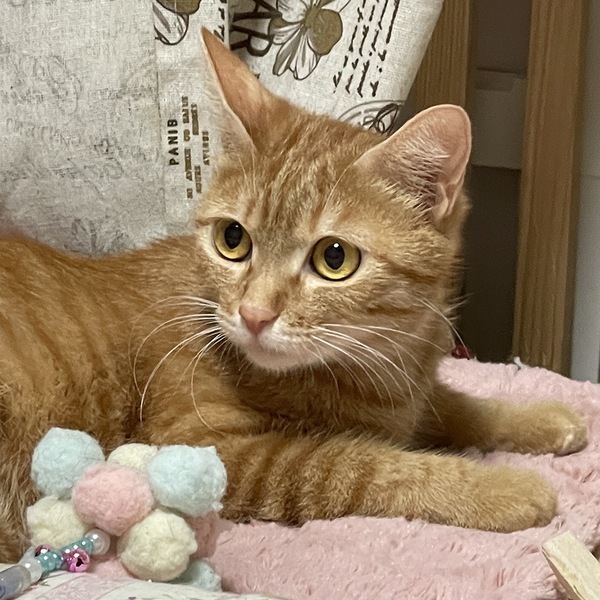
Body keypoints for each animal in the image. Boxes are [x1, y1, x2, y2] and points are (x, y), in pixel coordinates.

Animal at [0, 30, 587, 562]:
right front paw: (495, 488)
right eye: (233, 239)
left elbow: (452, 404)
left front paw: (538, 418)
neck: (376, 370)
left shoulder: (408, 394)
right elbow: (357, 464)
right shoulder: (216, 452)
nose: (254, 314)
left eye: (334, 258)